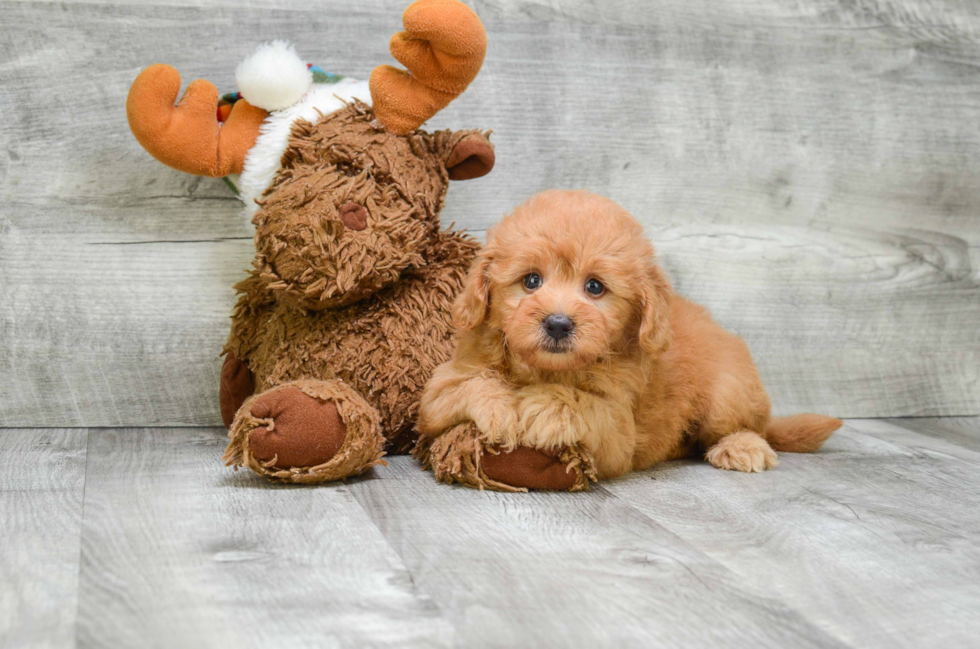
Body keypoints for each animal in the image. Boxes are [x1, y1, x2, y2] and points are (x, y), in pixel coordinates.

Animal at [414, 190, 844, 488]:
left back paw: (742, 446)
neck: (547, 370)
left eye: (594, 287)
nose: (558, 323)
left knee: (749, 426)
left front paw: (544, 406)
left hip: (728, 393)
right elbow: (465, 385)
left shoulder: (618, 430)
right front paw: (500, 407)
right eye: (531, 280)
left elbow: (586, 404)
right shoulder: (441, 387)